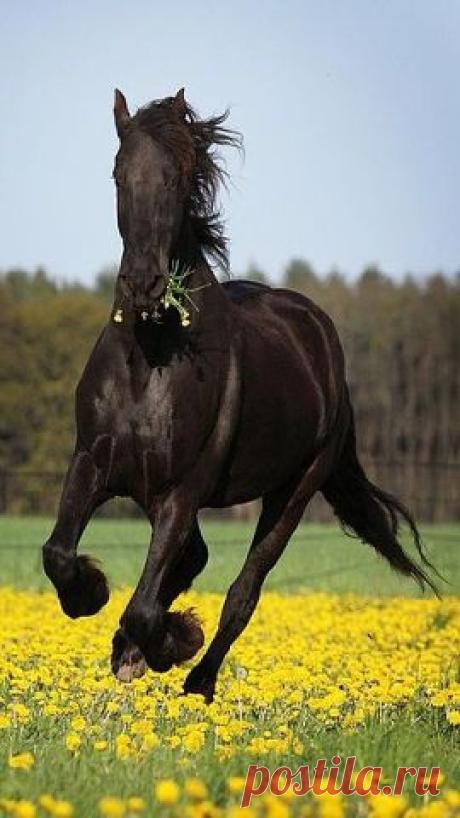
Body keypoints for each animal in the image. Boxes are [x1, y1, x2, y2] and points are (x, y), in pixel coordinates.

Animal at [42, 88, 437, 702]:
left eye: (179, 178)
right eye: (117, 173)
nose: (144, 285)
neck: (152, 356)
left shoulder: (183, 491)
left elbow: (147, 609)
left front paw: (172, 642)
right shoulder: (94, 463)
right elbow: (60, 555)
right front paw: (92, 595)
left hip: (294, 490)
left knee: (242, 592)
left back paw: (197, 680)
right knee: (193, 561)